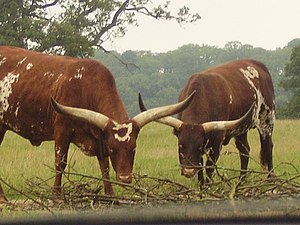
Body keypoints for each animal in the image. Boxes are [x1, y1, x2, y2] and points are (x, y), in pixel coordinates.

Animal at [0, 45, 195, 200]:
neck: (85, 87)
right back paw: (3, 198)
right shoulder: (61, 132)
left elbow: (104, 166)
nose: (125, 179)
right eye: (113, 149)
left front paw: (110, 195)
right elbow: (60, 164)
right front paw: (57, 196)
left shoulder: (100, 138)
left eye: (133, 149)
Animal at [139, 59, 276, 185]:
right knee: (244, 151)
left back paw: (270, 179)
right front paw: (201, 186)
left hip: (267, 122)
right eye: (180, 146)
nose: (188, 171)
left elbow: (209, 167)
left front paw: (208, 187)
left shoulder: (217, 141)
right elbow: (200, 167)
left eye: (199, 146)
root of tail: (258, 64)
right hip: (241, 128)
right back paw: (241, 182)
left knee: (267, 148)